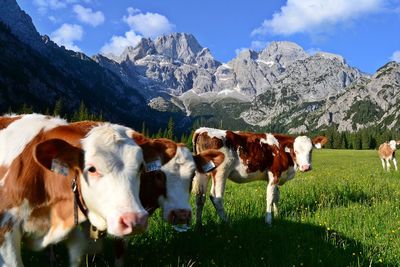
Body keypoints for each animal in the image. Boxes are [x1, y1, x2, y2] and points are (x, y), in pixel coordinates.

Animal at [191, 127, 328, 226]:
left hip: (203, 172)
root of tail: (202, 130)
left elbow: (276, 197)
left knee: (200, 197)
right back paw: (228, 223)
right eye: (296, 151)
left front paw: (278, 215)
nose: (306, 167)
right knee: (216, 197)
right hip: (221, 171)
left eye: (311, 150)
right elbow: (270, 197)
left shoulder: (277, 176)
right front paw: (269, 221)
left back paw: (199, 225)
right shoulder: (274, 174)